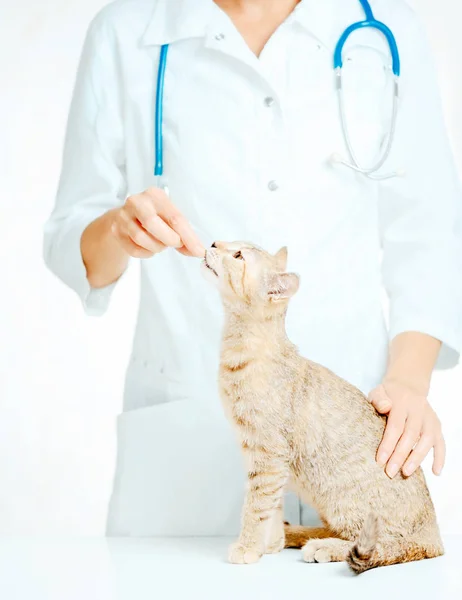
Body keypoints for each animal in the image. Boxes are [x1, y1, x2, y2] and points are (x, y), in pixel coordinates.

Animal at [201, 241, 444, 576]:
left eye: (239, 256)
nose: (213, 243)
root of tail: (435, 532)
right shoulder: (268, 460)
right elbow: (271, 504)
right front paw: (270, 542)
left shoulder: (268, 455)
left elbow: (257, 506)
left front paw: (249, 546)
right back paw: (298, 534)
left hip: (344, 499)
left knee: (378, 541)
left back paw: (324, 547)